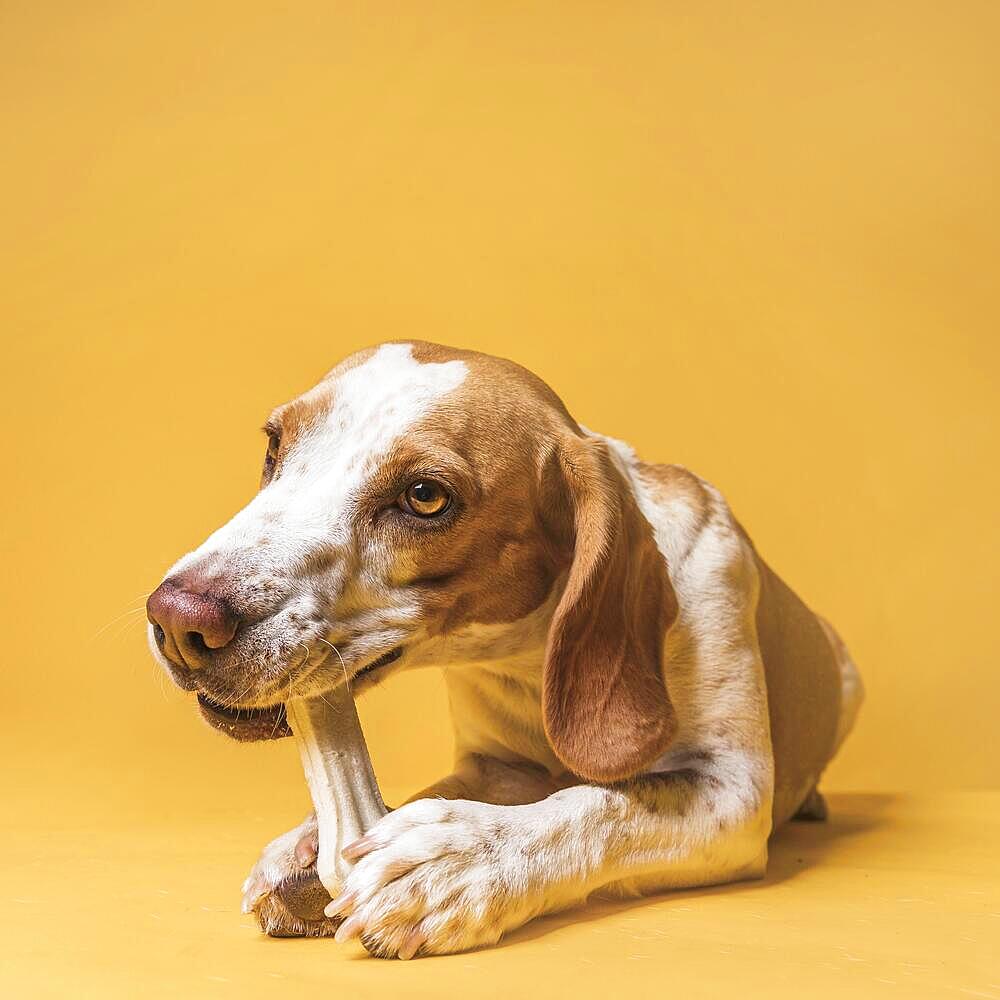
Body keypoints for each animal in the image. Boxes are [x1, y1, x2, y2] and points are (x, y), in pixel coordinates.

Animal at [146, 344, 860, 960]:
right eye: (275, 444)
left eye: (425, 496)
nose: (178, 620)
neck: (527, 659)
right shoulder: (496, 767)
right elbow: (434, 792)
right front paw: (309, 847)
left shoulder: (732, 789)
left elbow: (601, 804)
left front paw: (461, 859)